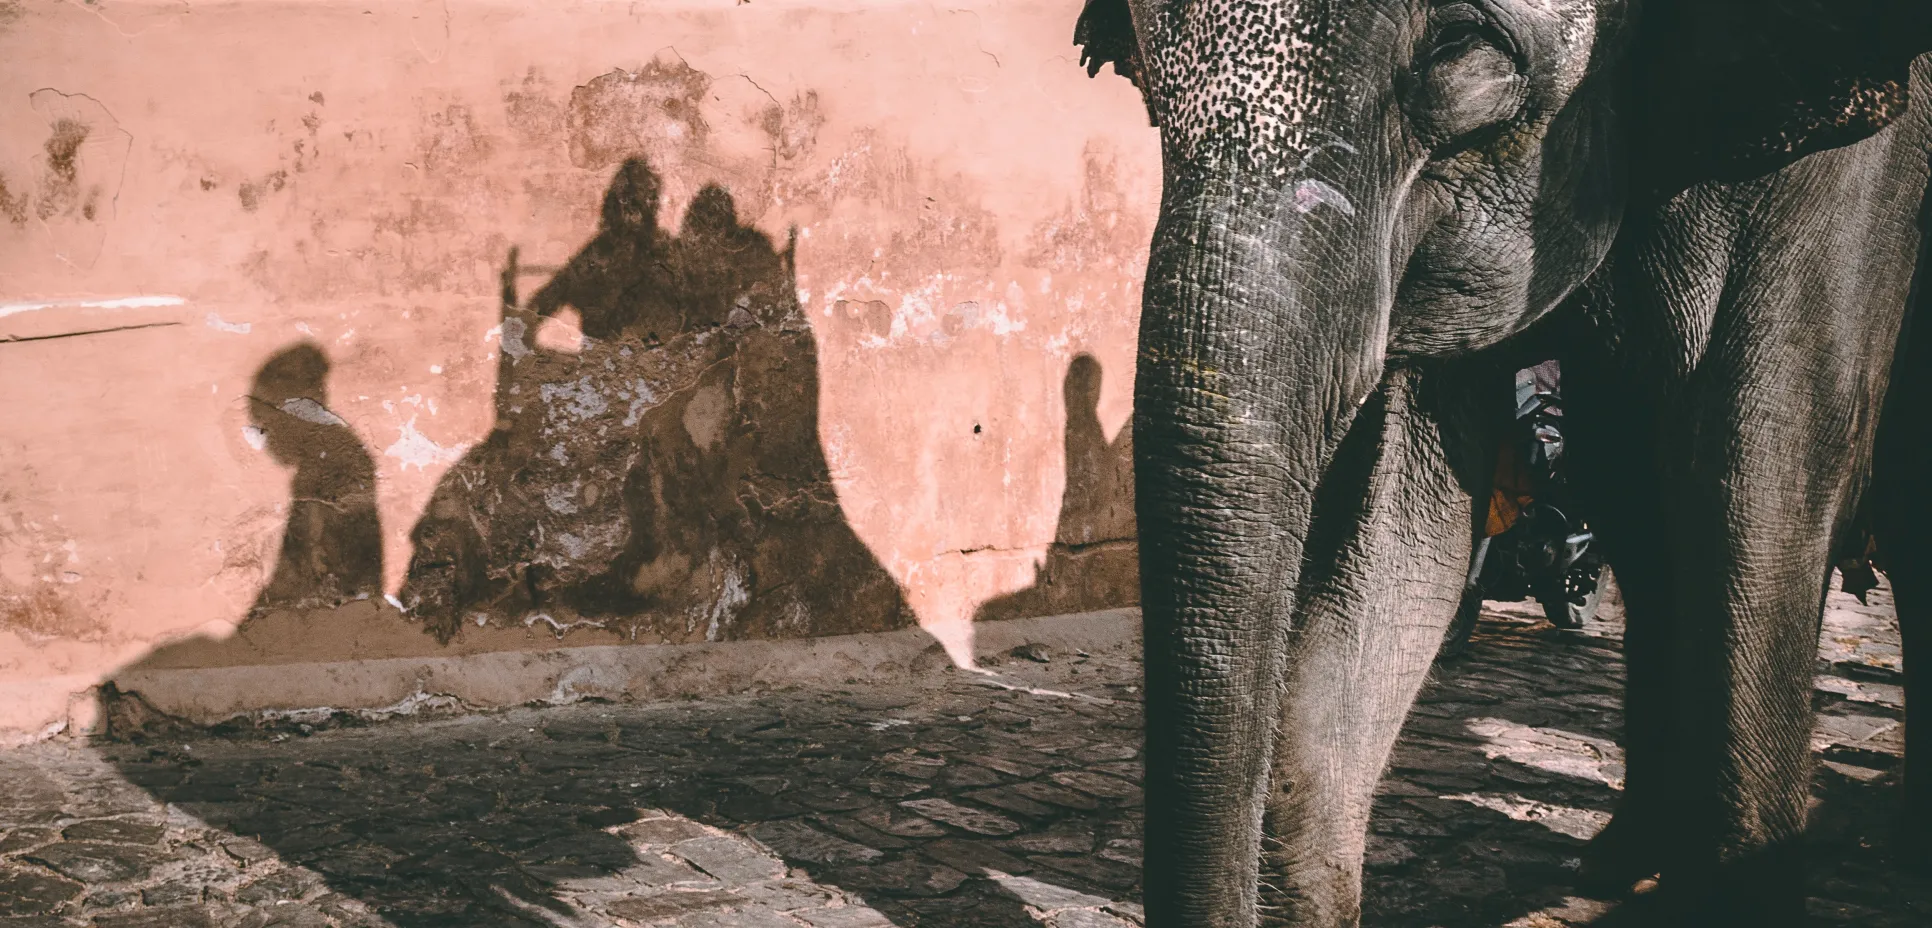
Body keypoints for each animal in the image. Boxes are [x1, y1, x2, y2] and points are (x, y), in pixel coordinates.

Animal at [1072, 0, 1932, 925]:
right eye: (1146, 69)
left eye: (1460, 44)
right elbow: (1402, 525)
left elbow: (1756, 472)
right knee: (1636, 510)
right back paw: (1620, 861)